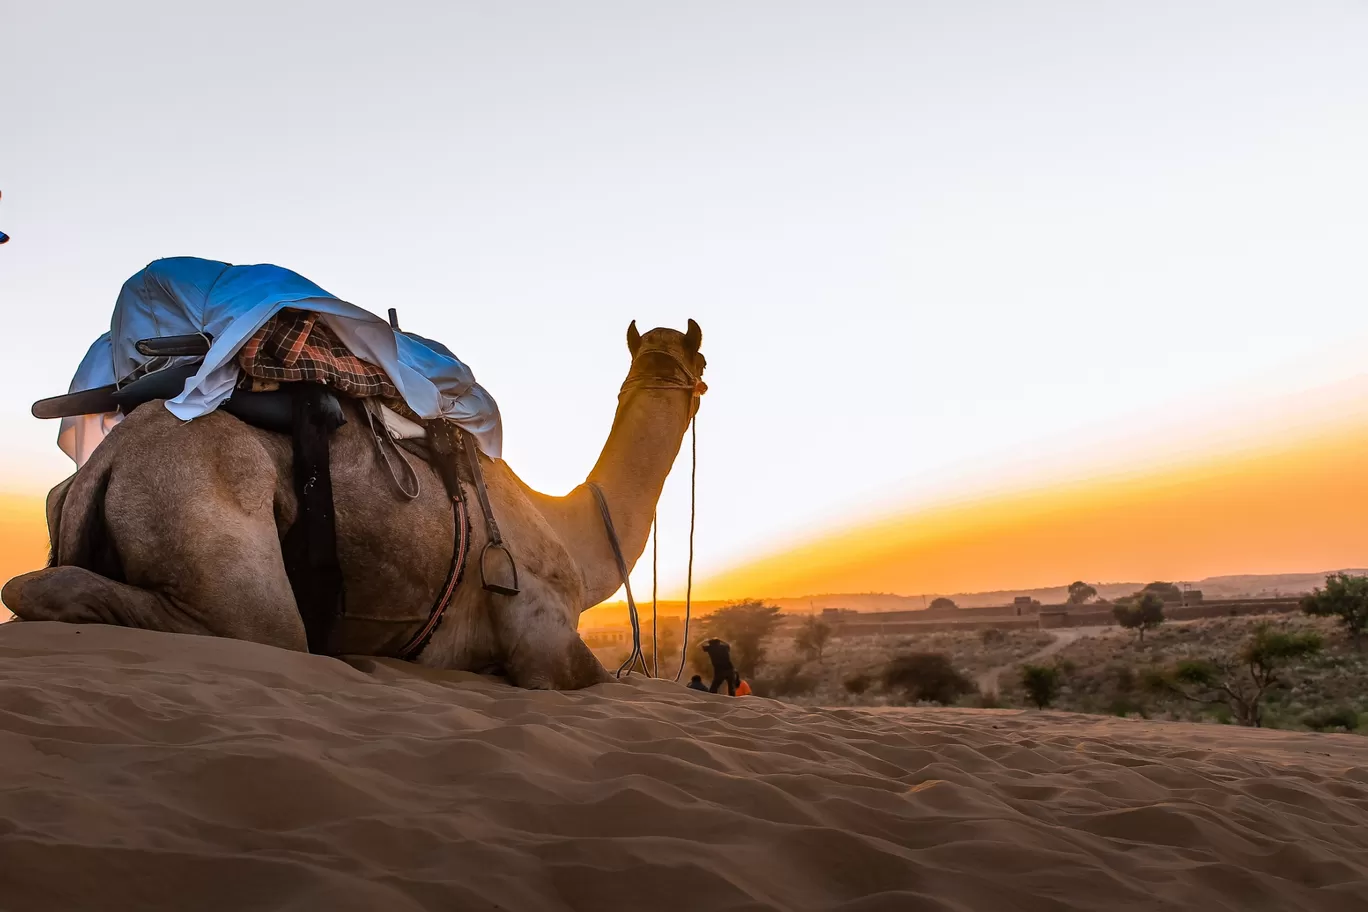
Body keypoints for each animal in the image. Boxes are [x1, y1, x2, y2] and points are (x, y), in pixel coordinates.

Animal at [2, 321, 705, 691]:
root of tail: (105, 463)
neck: (572, 536)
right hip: (213, 527)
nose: (683, 376)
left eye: (686, 354)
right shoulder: (541, 633)